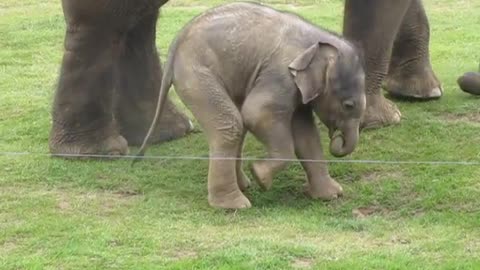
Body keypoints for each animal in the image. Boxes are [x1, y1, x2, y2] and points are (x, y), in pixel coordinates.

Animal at [135, 1, 368, 209]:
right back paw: (234, 204)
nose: (337, 139)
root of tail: (175, 46)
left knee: (237, 125)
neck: (318, 41)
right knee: (231, 124)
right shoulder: (279, 74)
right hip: (195, 74)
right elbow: (257, 113)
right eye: (348, 105)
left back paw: (243, 186)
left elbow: (306, 134)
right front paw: (260, 177)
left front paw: (332, 195)